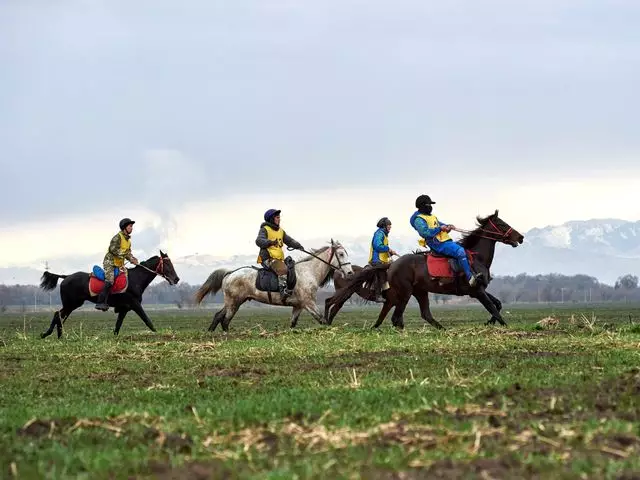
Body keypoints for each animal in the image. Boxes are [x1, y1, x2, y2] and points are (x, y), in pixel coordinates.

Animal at [39, 251, 180, 338]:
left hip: (73, 304)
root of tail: (66, 277)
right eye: (167, 264)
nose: (176, 279)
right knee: (58, 315)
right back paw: (49, 334)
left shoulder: (124, 308)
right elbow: (147, 321)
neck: (136, 279)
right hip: (72, 303)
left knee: (59, 316)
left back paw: (56, 336)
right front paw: (160, 334)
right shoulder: (135, 304)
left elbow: (117, 326)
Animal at [195, 242, 356, 332]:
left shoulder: (298, 306)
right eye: (341, 254)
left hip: (234, 302)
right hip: (234, 302)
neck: (309, 271)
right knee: (225, 320)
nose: (350, 272)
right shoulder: (308, 303)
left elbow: (293, 323)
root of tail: (230, 273)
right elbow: (322, 320)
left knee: (218, 316)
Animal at [324, 211, 524, 330]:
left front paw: (490, 322)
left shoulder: (480, 290)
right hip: (404, 293)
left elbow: (497, 304)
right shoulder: (476, 290)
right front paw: (503, 325)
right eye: (503, 224)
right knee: (394, 316)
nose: (520, 237)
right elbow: (493, 307)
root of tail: (391, 265)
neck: (476, 257)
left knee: (421, 314)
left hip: (419, 292)